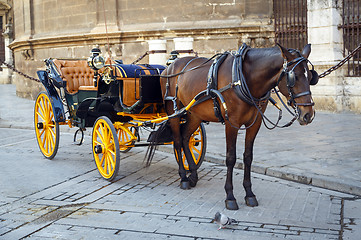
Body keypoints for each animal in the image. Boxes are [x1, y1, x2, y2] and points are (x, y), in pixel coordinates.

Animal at [160, 43, 316, 210]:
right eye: (294, 77)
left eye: (310, 77)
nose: (308, 115)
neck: (243, 77)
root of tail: (169, 66)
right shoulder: (232, 123)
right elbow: (231, 158)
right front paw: (230, 196)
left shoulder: (255, 123)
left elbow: (248, 157)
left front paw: (249, 193)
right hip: (174, 111)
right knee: (177, 141)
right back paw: (184, 178)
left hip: (195, 114)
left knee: (185, 138)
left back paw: (193, 176)